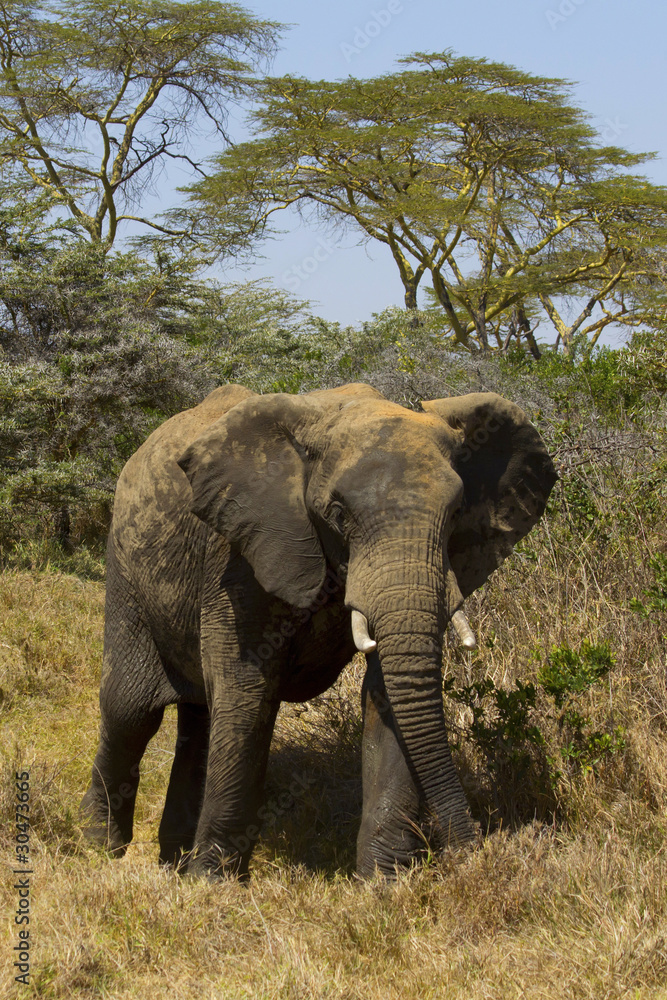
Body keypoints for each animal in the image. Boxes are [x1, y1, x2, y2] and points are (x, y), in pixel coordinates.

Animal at [79, 380, 560, 876]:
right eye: (338, 513)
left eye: (458, 511)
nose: (472, 849)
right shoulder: (239, 553)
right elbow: (247, 689)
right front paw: (213, 883)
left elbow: (387, 691)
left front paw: (384, 882)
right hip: (126, 569)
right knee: (131, 711)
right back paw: (99, 847)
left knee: (199, 717)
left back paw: (173, 861)